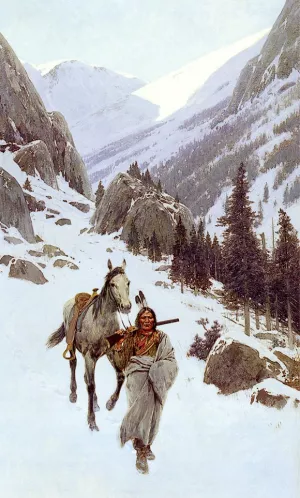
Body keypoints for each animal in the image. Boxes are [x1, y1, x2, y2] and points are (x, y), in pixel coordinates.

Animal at [46, 258, 131, 430]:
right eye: (112, 284)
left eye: (128, 282)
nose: (126, 307)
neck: (101, 324)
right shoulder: (89, 356)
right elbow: (91, 386)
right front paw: (92, 421)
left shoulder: (110, 353)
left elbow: (120, 376)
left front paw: (110, 403)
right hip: (73, 348)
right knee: (73, 366)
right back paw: (73, 394)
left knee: (87, 377)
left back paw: (97, 403)